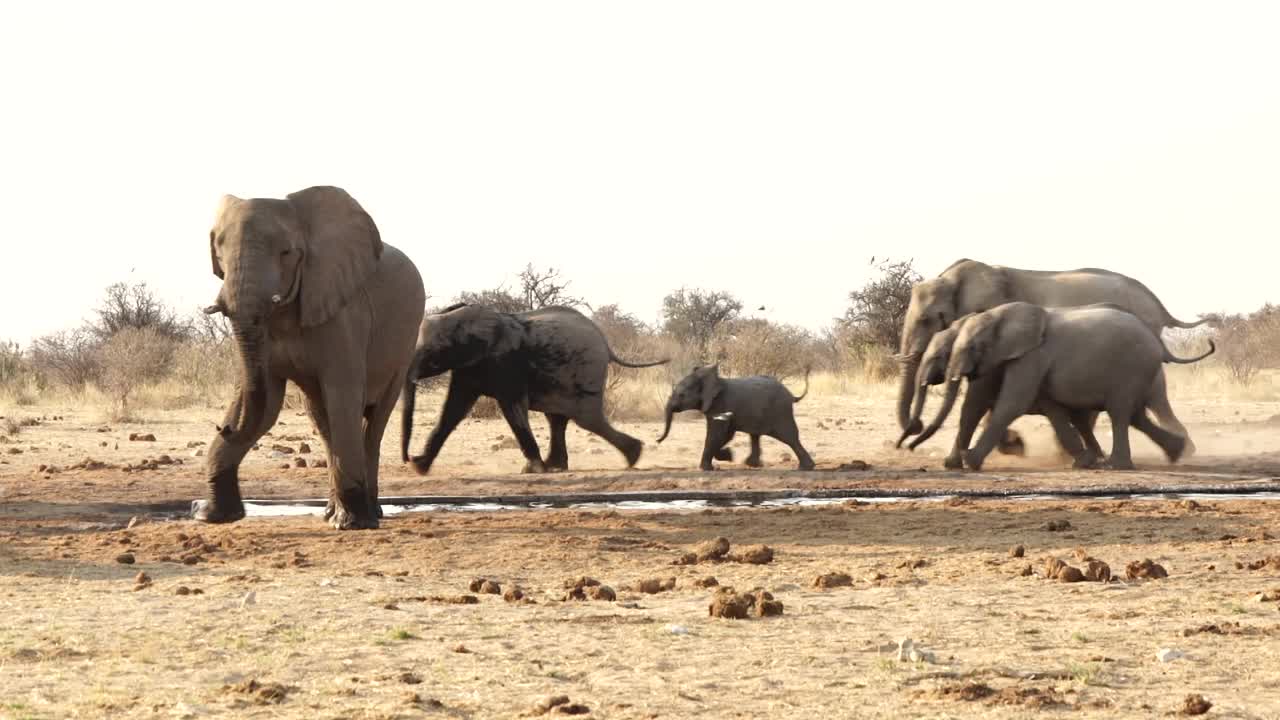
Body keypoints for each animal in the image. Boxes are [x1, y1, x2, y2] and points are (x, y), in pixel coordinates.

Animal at [194, 183, 424, 527]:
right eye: (217, 251)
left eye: (286, 253)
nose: (224, 427)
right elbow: (266, 402)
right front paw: (212, 516)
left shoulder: (344, 314)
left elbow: (342, 394)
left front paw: (351, 524)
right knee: (322, 419)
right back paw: (331, 512)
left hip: (404, 347)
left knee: (373, 423)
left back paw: (368, 514)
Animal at [401, 301, 670, 474]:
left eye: (431, 353)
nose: (406, 459)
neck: (460, 316)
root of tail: (606, 343)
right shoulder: (469, 366)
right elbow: (454, 409)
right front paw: (420, 467)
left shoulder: (505, 362)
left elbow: (512, 407)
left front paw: (533, 470)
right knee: (558, 418)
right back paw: (557, 466)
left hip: (586, 370)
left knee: (586, 419)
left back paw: (633, 456)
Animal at [655, 363, 814, 471]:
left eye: (681, 395)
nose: (657, 440)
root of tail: (791, 395)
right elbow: (725, 435)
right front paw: (727, 456)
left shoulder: (720, 405)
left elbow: (717, 434)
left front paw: (713, 465)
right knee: (756, 435)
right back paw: (752, 465)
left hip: (780, 411)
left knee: (789, 437)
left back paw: (805, 468)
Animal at [911, 299, 1208, 468]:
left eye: (972, 347)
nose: (910, 442)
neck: (999, 314)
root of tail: (1157, 340)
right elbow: (976, 405)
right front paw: (953, 464)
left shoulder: (1031, 356)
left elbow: (1010, 403)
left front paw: (970, 461)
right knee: (1134, 415)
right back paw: (1175, 452)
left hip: (1132, 368)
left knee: (1120, 412)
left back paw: (1115, 465)